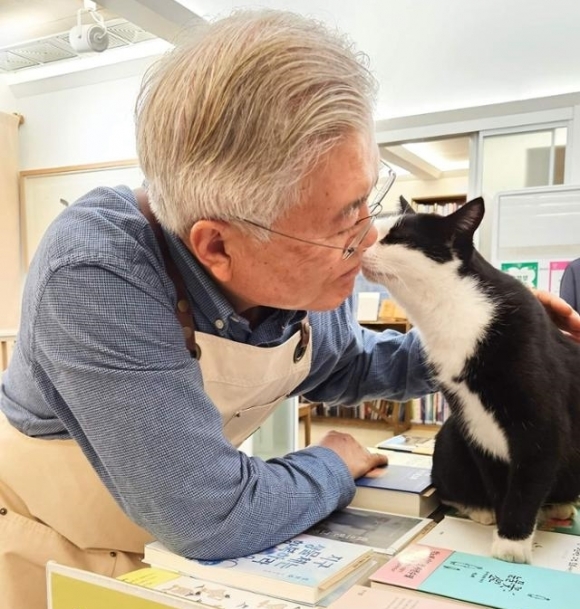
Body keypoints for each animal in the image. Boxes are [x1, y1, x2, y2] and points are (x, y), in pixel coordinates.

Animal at [360, 197, 580, 564]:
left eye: (398, 236)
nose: (359, 244)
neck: (452, 314)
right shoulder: (473, 421)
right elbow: (496, 477)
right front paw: (499, 520)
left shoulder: (541, 422)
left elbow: (530, 472)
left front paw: (511, 544)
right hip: (452, 434)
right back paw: (481, 509)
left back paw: (557, 505)